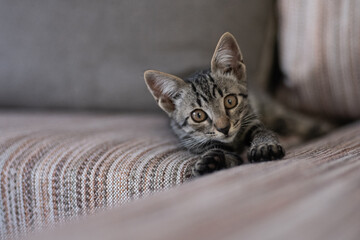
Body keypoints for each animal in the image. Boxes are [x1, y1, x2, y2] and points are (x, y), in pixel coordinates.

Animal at [146, 31, 330, 176]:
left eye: (230, 101)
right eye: (198, 115)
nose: (224, 128)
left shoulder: (252, 117)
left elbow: (262, 131)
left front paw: (264, 145)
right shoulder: (192, 141)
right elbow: (222, 153)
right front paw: (210, 161)